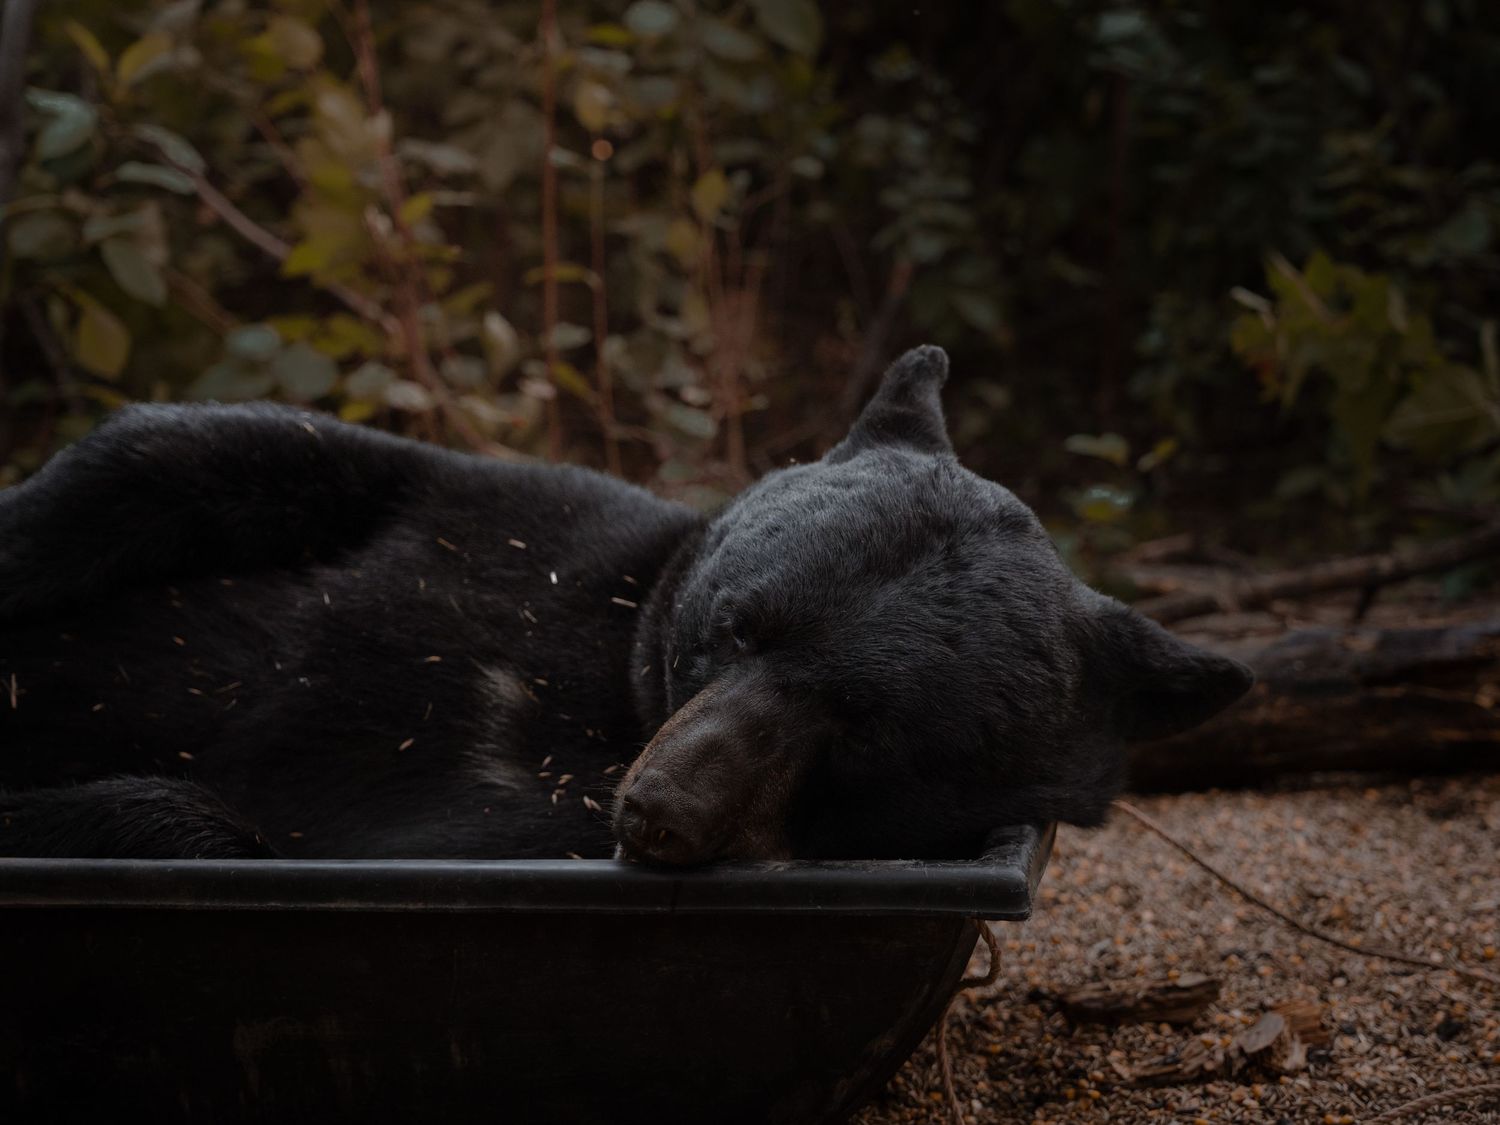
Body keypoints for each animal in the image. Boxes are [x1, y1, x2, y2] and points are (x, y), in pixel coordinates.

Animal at [0, 346, 1252, 863]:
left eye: (869, 735)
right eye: (737, 624)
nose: (658, 808)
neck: (608, 698)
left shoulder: (500, 836)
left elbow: (227, 822)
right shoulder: (501, 509)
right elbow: (194, 450)